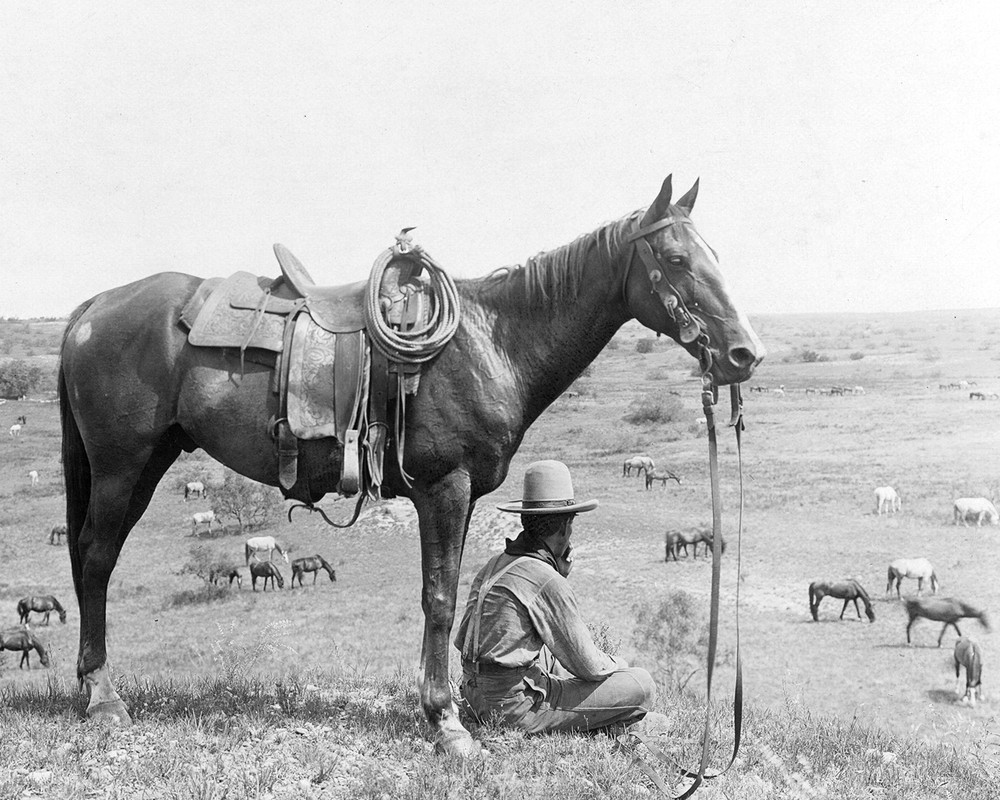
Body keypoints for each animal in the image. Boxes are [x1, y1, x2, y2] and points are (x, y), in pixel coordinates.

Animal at [56, 175, 763, 753]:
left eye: (716, 256)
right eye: (676, 259)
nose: (743, 353)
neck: (491, 341)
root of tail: (91, 309)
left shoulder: (463, 493)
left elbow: (448, 594)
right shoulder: (444, 489)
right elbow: (440, 598)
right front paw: (446, 723)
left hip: (146, 464)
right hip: (121, 468)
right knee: (95, 559)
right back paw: (104, 699)